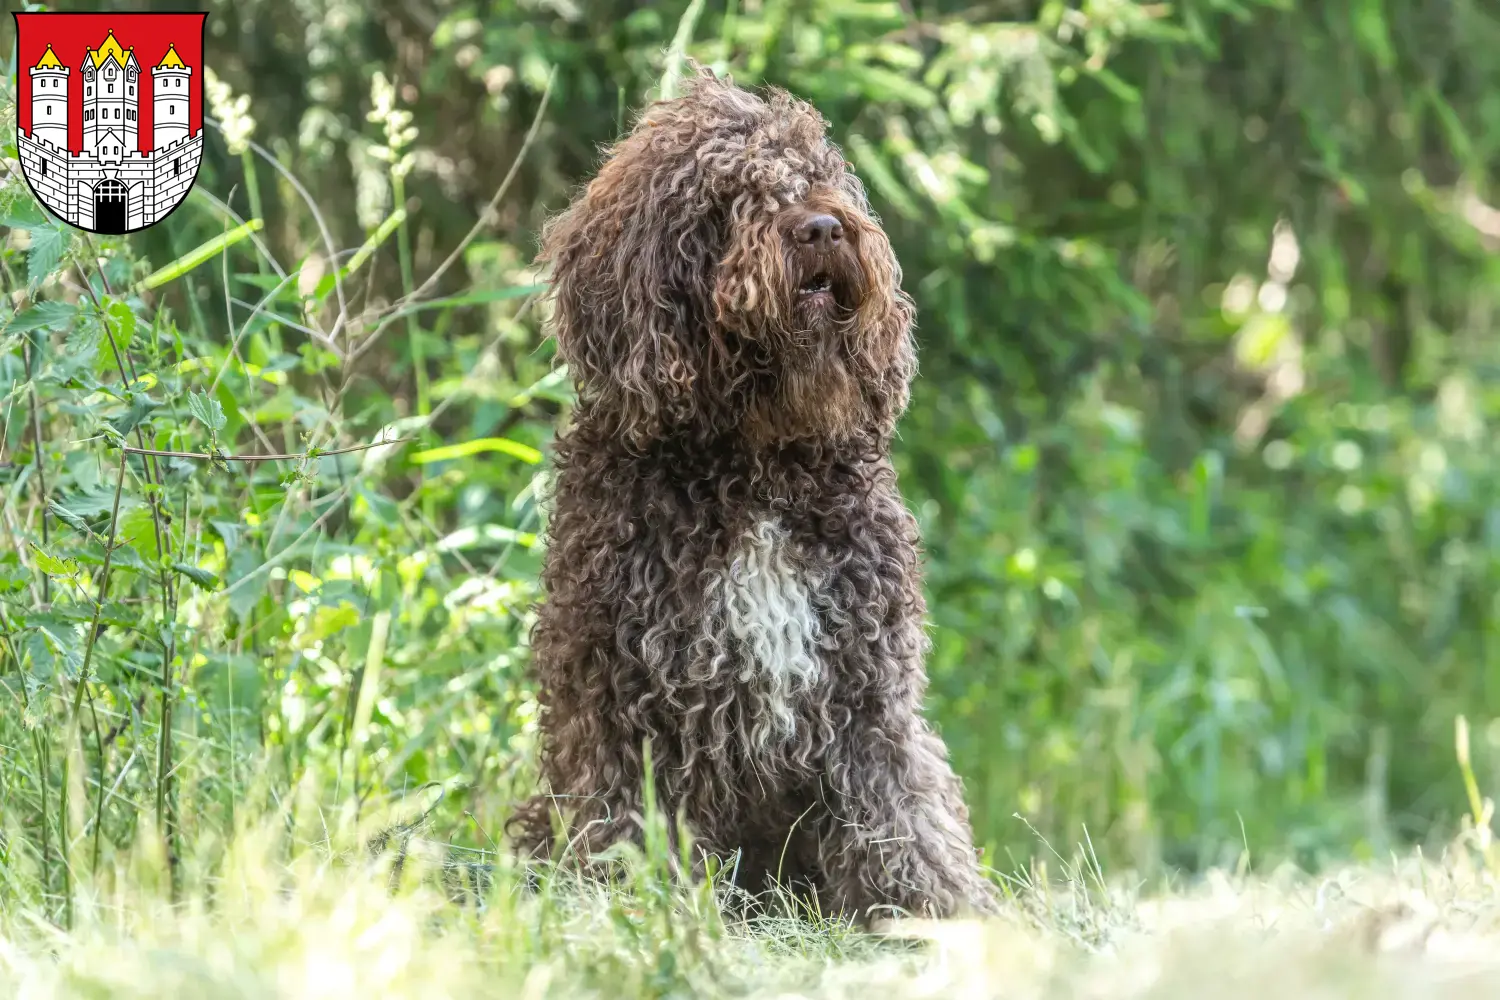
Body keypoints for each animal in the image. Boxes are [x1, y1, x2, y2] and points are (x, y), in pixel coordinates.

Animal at [510, 62, 1002, 923]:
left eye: (818, 176)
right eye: (730, 194)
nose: (824, 230)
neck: (757, 469)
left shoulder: (868, 694)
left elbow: (904, 815)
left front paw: (939, 914)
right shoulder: (625, 705)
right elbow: (630, 823)